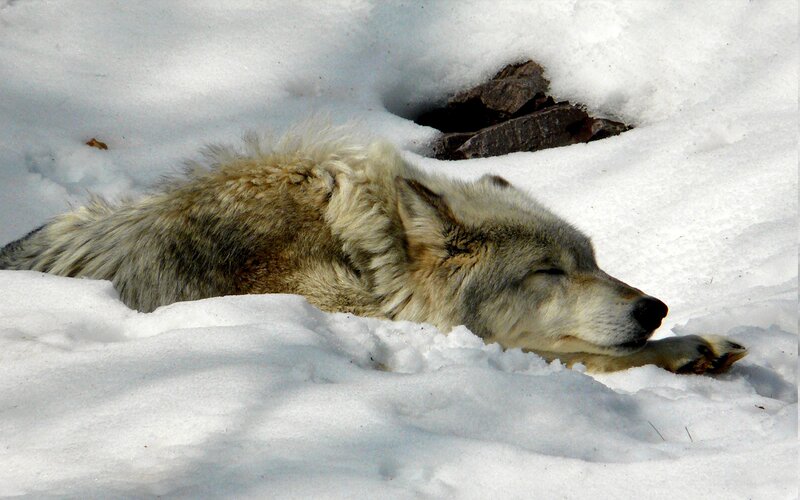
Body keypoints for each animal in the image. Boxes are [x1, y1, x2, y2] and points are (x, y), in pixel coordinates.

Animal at [0, 125, 746, 373]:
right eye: (547, 271)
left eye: (594, 263)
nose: (654, 308)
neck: (363, 255)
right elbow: (569, 352)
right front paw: (686, 348)